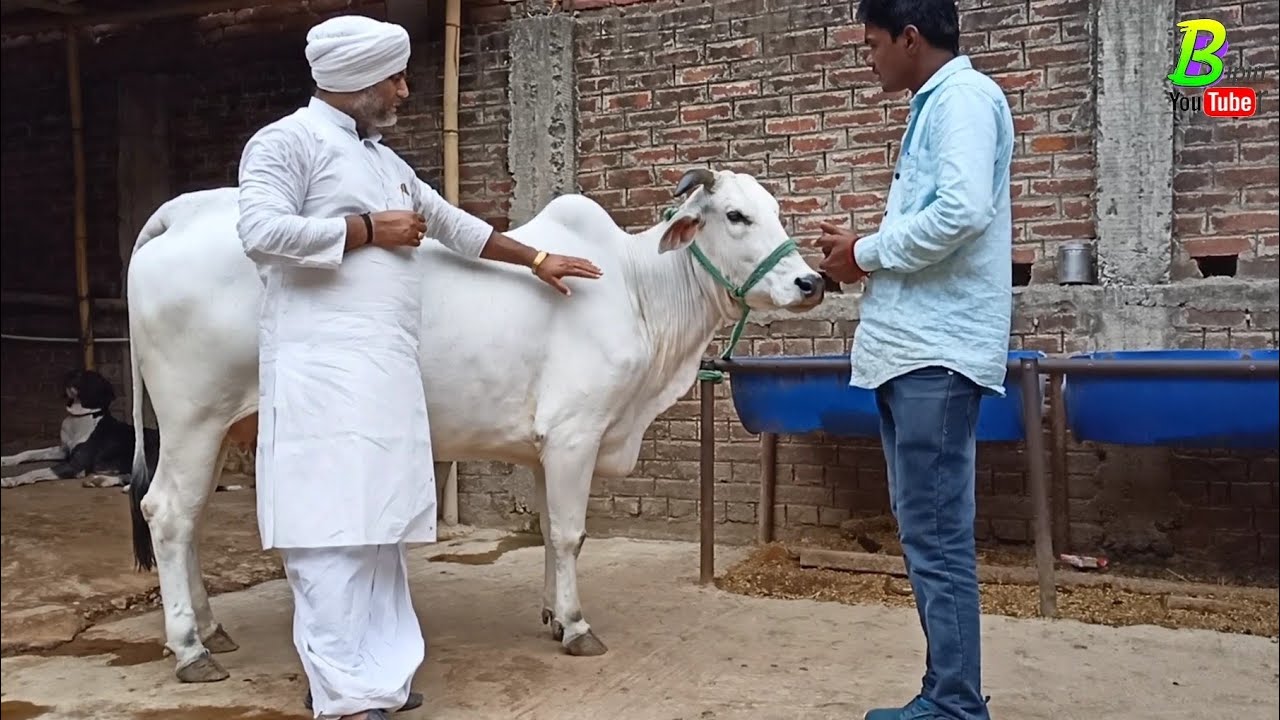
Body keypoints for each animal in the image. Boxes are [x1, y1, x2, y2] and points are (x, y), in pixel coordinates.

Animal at [1, 368, 159, 490]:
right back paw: (101, 480)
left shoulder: (75, 465)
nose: (69, 373)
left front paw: (12, 479)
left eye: (89, 377)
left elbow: (34, 471)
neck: (82, 417)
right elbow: (28, 453)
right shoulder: (64, 450)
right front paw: (6, 460)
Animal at [124, 167, 827, 683]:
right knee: (167, 512)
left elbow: (551, 536)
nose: (811, 281)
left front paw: (552, 612)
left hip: (220, 428)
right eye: (735, 216)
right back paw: (190, 648)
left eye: (773, 209)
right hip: (193, 417)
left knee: (190, 520)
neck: (637, 291)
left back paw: (212, 628)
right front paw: (577, 627)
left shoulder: (547, 450)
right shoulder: (574, 434)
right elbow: (570, 534)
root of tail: (182, 215)